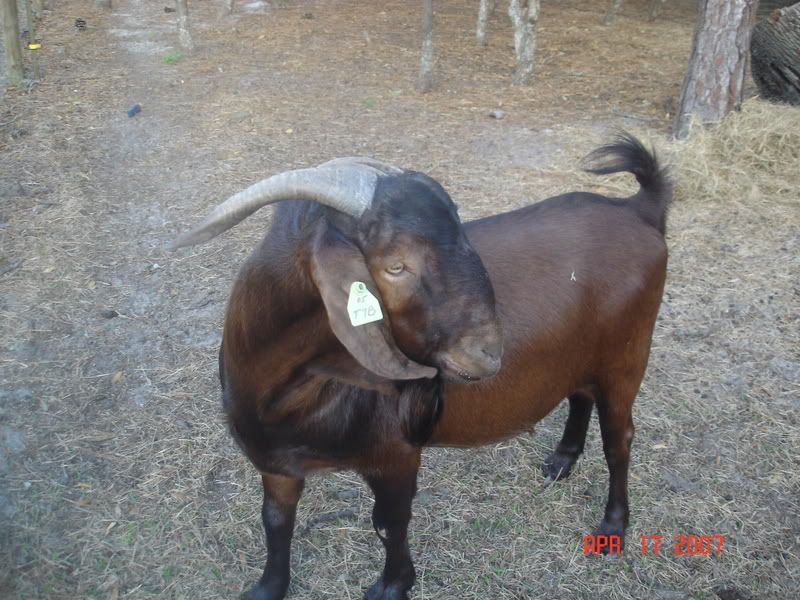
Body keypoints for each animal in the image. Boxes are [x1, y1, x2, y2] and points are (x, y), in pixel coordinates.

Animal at [171, 134, 671, 600]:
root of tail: (637, 210)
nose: (487, 352)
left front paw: (393, 585)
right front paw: (268, 587)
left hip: (627, 357)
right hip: (586, 355)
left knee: (619, 441)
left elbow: (389, 522)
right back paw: (562, 460)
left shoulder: (395, 453)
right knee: (580, 395)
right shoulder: (276, 463)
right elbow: (274, 521)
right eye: (395, 265)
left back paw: (612, 528)